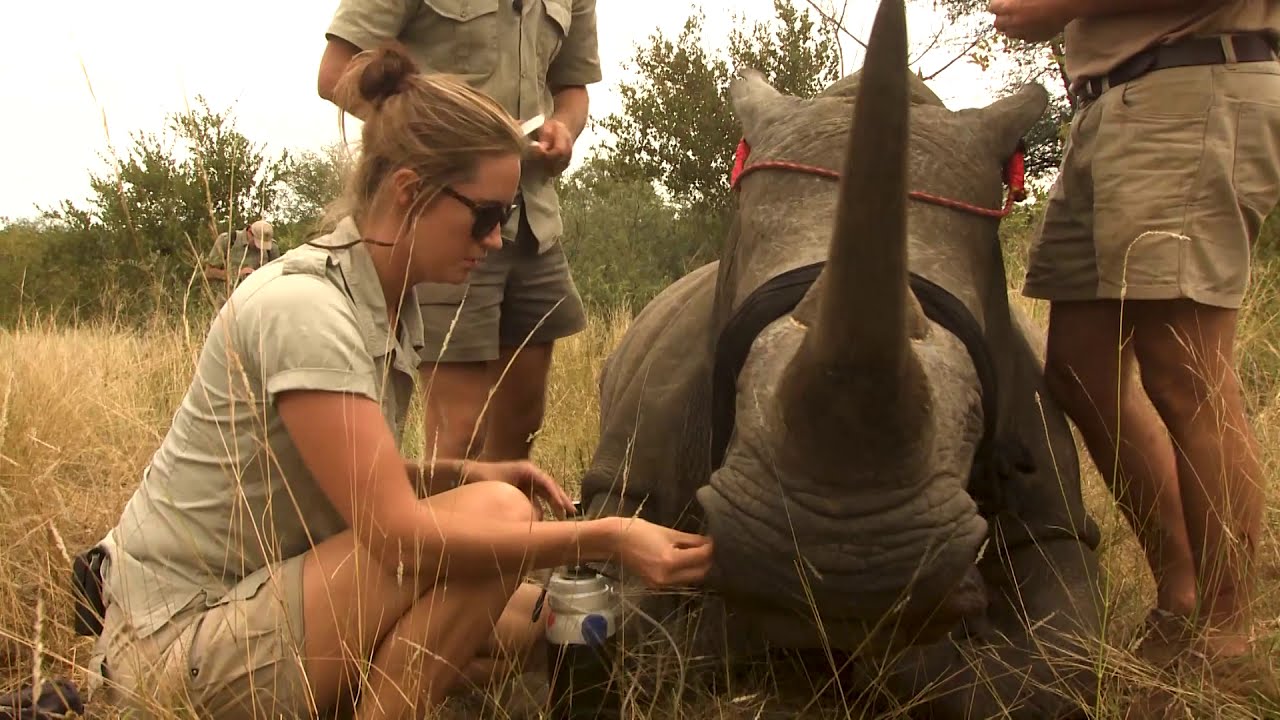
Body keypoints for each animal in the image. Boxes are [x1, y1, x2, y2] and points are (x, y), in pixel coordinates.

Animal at [577, 0, 1105, 717]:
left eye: (976, 417)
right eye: (734, 387)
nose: (847, 566)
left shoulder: (1056, 516)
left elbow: (1053, 667)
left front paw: (900, 650)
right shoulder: (627, 482)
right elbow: (633, 629)